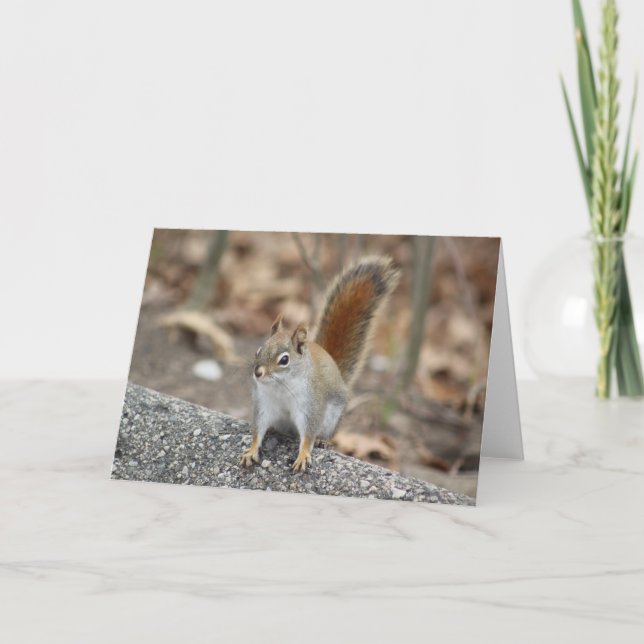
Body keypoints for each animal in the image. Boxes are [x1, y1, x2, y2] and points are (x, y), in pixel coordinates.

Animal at [240, 256, 400, 472]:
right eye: (258, 350)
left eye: (284, 360)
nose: (258, 372)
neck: (282, 386)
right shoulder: (264, 402)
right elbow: (259, 428)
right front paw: (251, 450)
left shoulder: (311, 404)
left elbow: (308, 433)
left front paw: (303, 455)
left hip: (332, 418)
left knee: (323, 433)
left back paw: (322, 441)